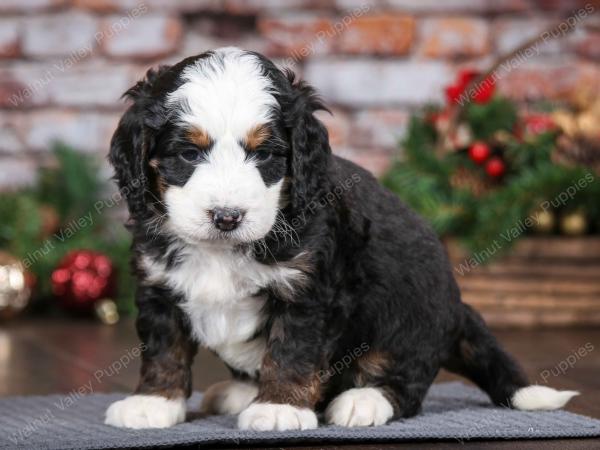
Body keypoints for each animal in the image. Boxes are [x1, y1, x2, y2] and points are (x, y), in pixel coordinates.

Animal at [103, 47, 576, 430]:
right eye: (188, 153)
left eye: (265, 154)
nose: (227, 217)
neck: (223, 250)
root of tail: (458, 309)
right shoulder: (157, 285)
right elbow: (164, 347)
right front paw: (153, 402)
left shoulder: (309, 291)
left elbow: (292, 349)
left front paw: (279, 407)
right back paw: (238, 392)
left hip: (408, 316)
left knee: (406, 381)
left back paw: (362, 400)